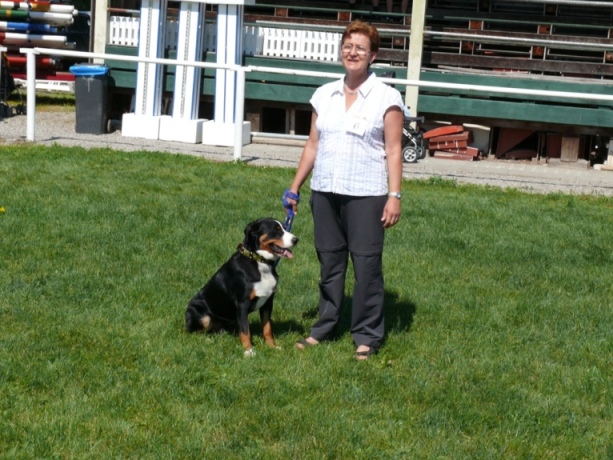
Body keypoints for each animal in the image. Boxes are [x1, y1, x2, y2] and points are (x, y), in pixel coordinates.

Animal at [185, 218, 298, 356]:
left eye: (284, 228)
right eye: (276, 230)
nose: (296, 239)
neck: (259, 262)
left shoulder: (268, 302)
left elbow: (267, 328)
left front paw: (272, 347)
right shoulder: (242, 303)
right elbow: (245, 331)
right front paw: (249, 351)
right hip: (200, 314)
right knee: (194, 331)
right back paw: (207, 340)